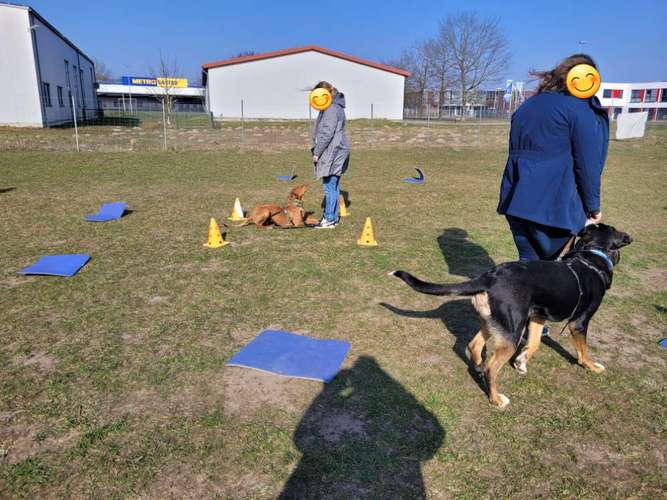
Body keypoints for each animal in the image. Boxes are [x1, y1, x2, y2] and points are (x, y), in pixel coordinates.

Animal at [394, 225, 636, 408]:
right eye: (614, 230)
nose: (628, 237)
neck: (592, 257)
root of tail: (489, 277)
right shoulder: (579, 322)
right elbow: (583, 351)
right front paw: (591, 366)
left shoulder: (537, 317)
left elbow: (535, 343)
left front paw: (521, 362)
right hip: (511, 332)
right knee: (492, 368)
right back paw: (495, 399)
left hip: (495, 323)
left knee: (474, 346)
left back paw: (478, 368)